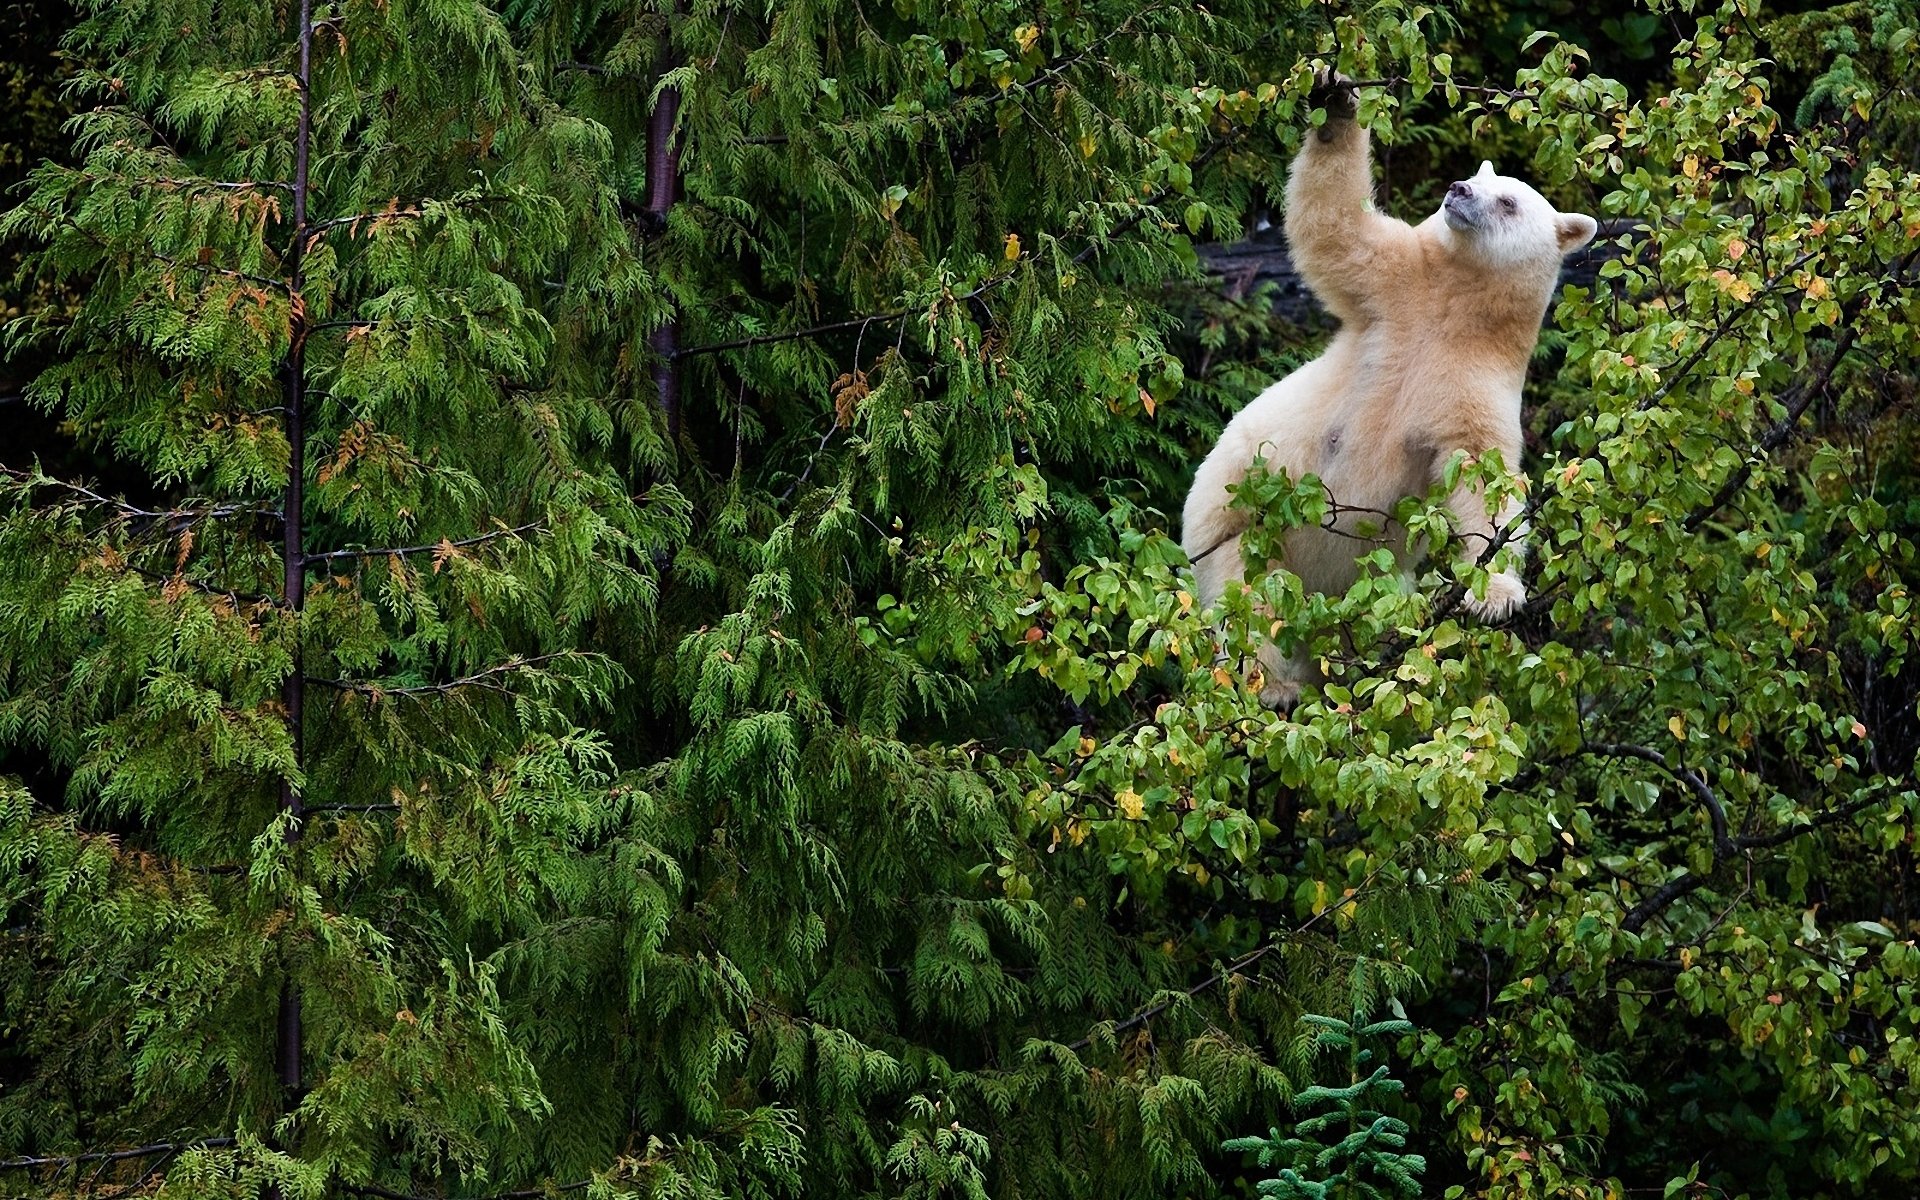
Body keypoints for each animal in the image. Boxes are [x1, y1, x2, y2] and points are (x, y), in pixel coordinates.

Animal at [1175, 72, 1597, 702]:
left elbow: (1482, 476)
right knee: (1247, 600)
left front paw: (1494, 595)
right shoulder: (1392, 291)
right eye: (1478, 176)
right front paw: (1335, 101)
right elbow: (1337, 230)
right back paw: (1273, 684)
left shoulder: (1478, 380)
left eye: (1508, 199)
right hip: (1232, 527)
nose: (1458, 190)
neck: (1453, 307)